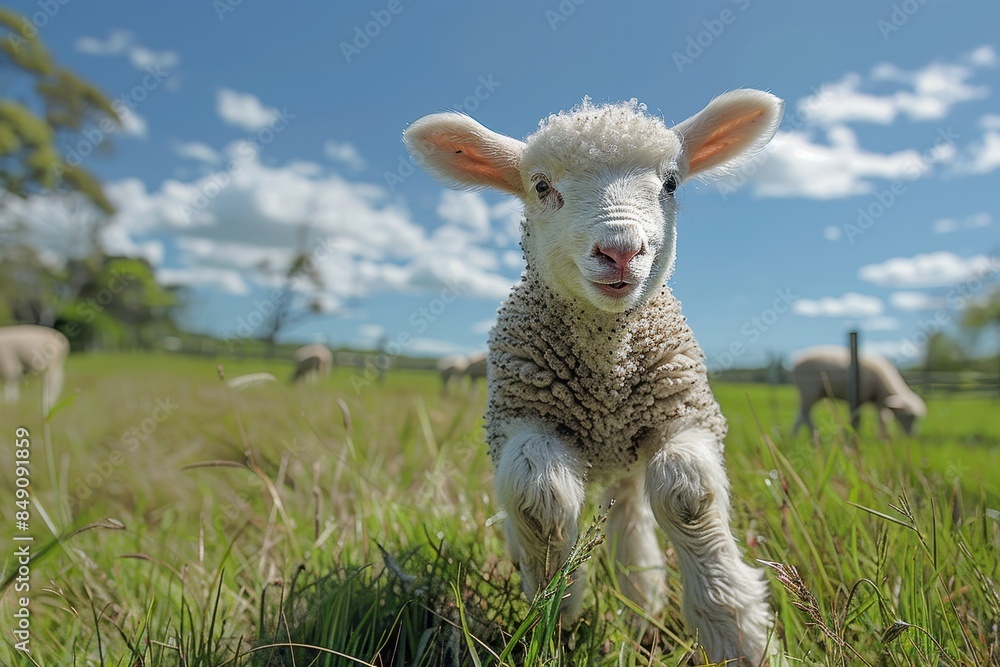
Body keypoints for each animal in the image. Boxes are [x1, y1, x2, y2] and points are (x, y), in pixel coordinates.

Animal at [405, 90, 784, 665]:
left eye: (671, 183)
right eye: (541, 186)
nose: (620, 250)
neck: (607, 368)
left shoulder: (684, 410)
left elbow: (687, 492)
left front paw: (736, 633)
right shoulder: (521, 417)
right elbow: (539, 496)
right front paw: (554, 608)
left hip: (628, 455)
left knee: (632, 511)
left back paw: (643, 602)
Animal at [792, 345, 927, 438]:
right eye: (910, 416)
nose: (913, 436)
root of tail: (797, 362)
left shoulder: (878, 401)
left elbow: (883, 419)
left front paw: (883, 437)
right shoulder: (860, 397)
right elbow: (866, 419)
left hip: (813, 394)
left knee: (801, 414)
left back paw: (795, 436)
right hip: (809, 390)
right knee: (805, 414)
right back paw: (814, 433)